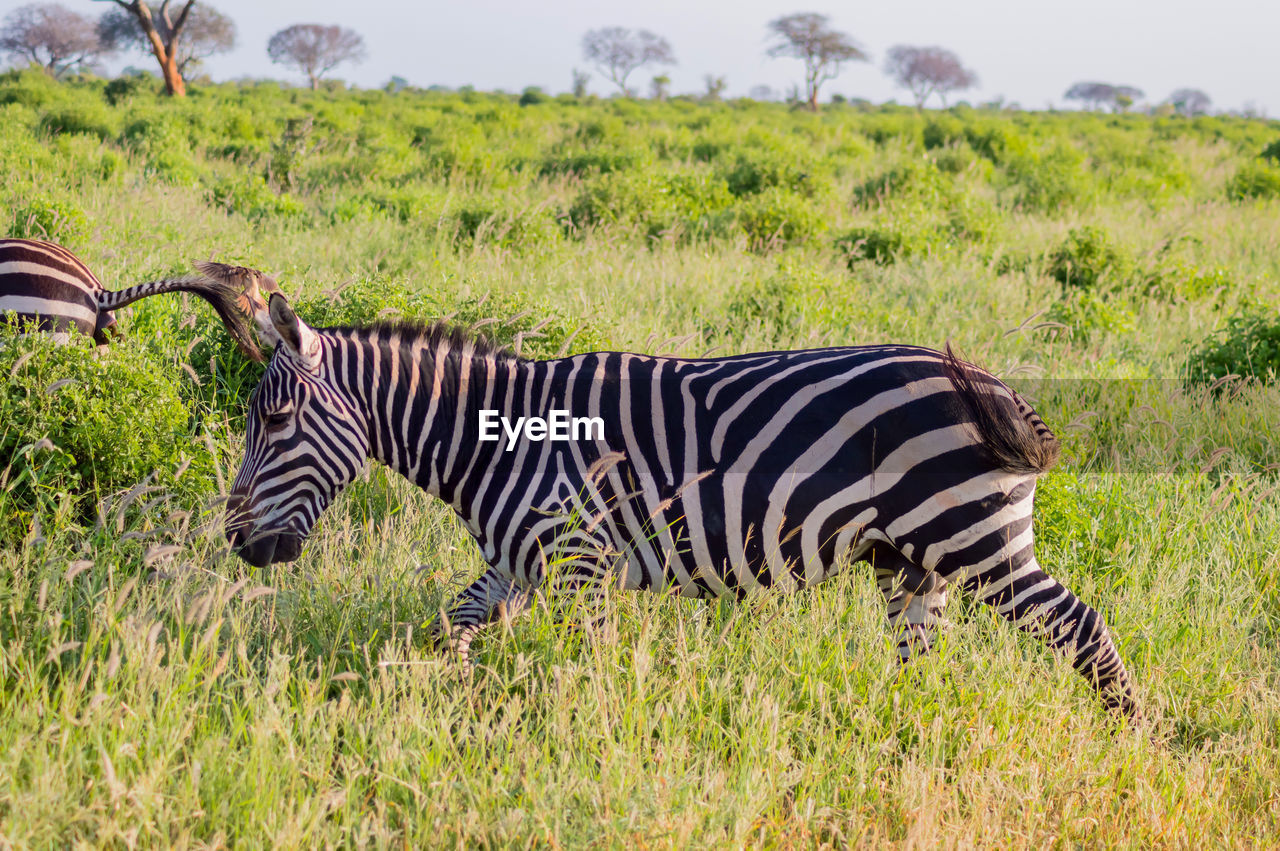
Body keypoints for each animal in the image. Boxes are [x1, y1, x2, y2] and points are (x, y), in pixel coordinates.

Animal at [220, 291, 1141, 716]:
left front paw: (583, 744)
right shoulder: (513, 566)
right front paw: (422, 703)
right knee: (921, 653)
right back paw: (897, 731)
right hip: (913, 561)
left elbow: (581, 665)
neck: (498, 439)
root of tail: (996, 387)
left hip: (974, 537)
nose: (238, 545)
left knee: (1081, 626)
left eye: (274, 420)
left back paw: (1136, 737)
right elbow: (449, 631)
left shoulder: (579, 558)